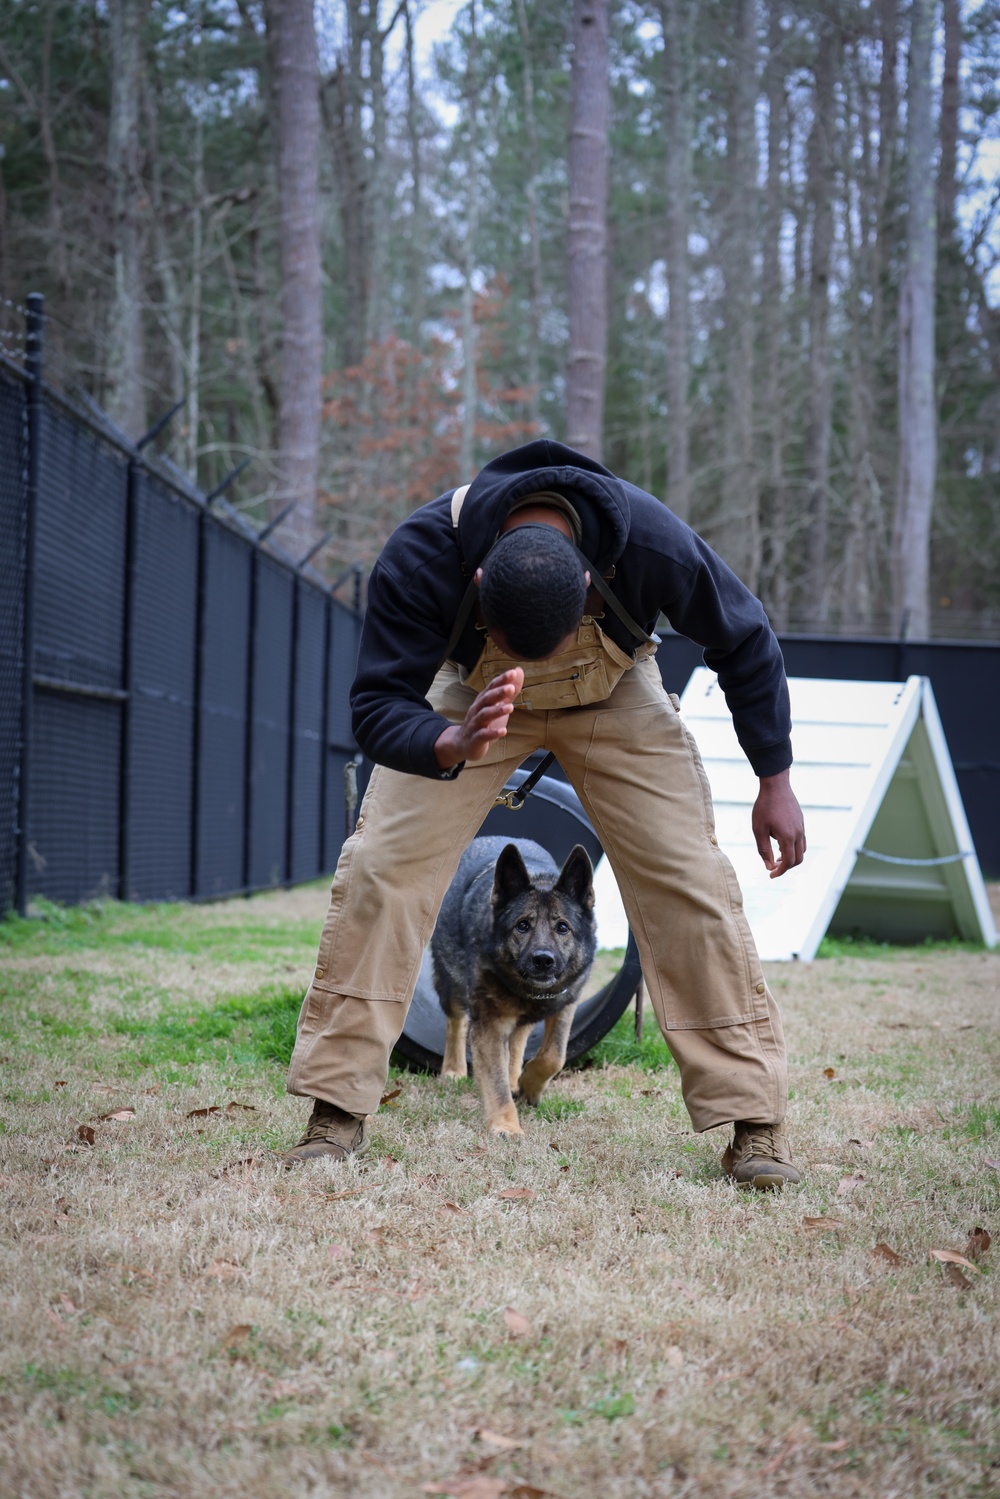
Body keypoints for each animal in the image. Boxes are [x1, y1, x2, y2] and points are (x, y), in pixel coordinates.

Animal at [431, 833, 593, 1133]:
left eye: (562, 927)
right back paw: (454, 1070)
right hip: (450, 983)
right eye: (522, 925)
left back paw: (516, 1075)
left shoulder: (566, 1005)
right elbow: (496, 1082)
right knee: (456, 1021)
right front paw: (506, 1126)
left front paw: (529, 1086)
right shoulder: (489, 1025)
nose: (543, 960)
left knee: (518, 1039)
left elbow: (554, 1056)